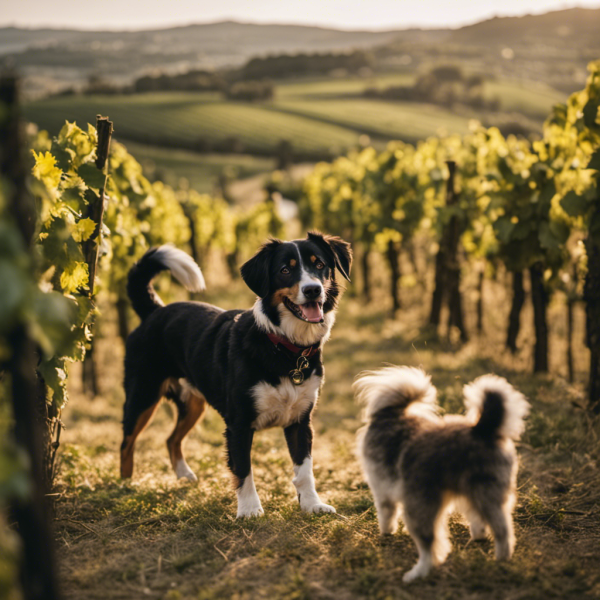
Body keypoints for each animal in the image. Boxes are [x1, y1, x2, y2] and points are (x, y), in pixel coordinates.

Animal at [120, 232, 352, 516]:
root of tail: (155, 310)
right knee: (126, 442)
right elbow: (243, 469)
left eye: (319, 264)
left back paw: (184, 475)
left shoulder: (300, 421)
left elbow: (304, 470)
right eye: (285, 270)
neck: (284, 347)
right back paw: (125, 485)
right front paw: (250, 509)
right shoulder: (238, 423)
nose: (312, 290)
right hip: (142, 394)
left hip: (193, 405)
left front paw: (312, 504)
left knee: (171, 439)